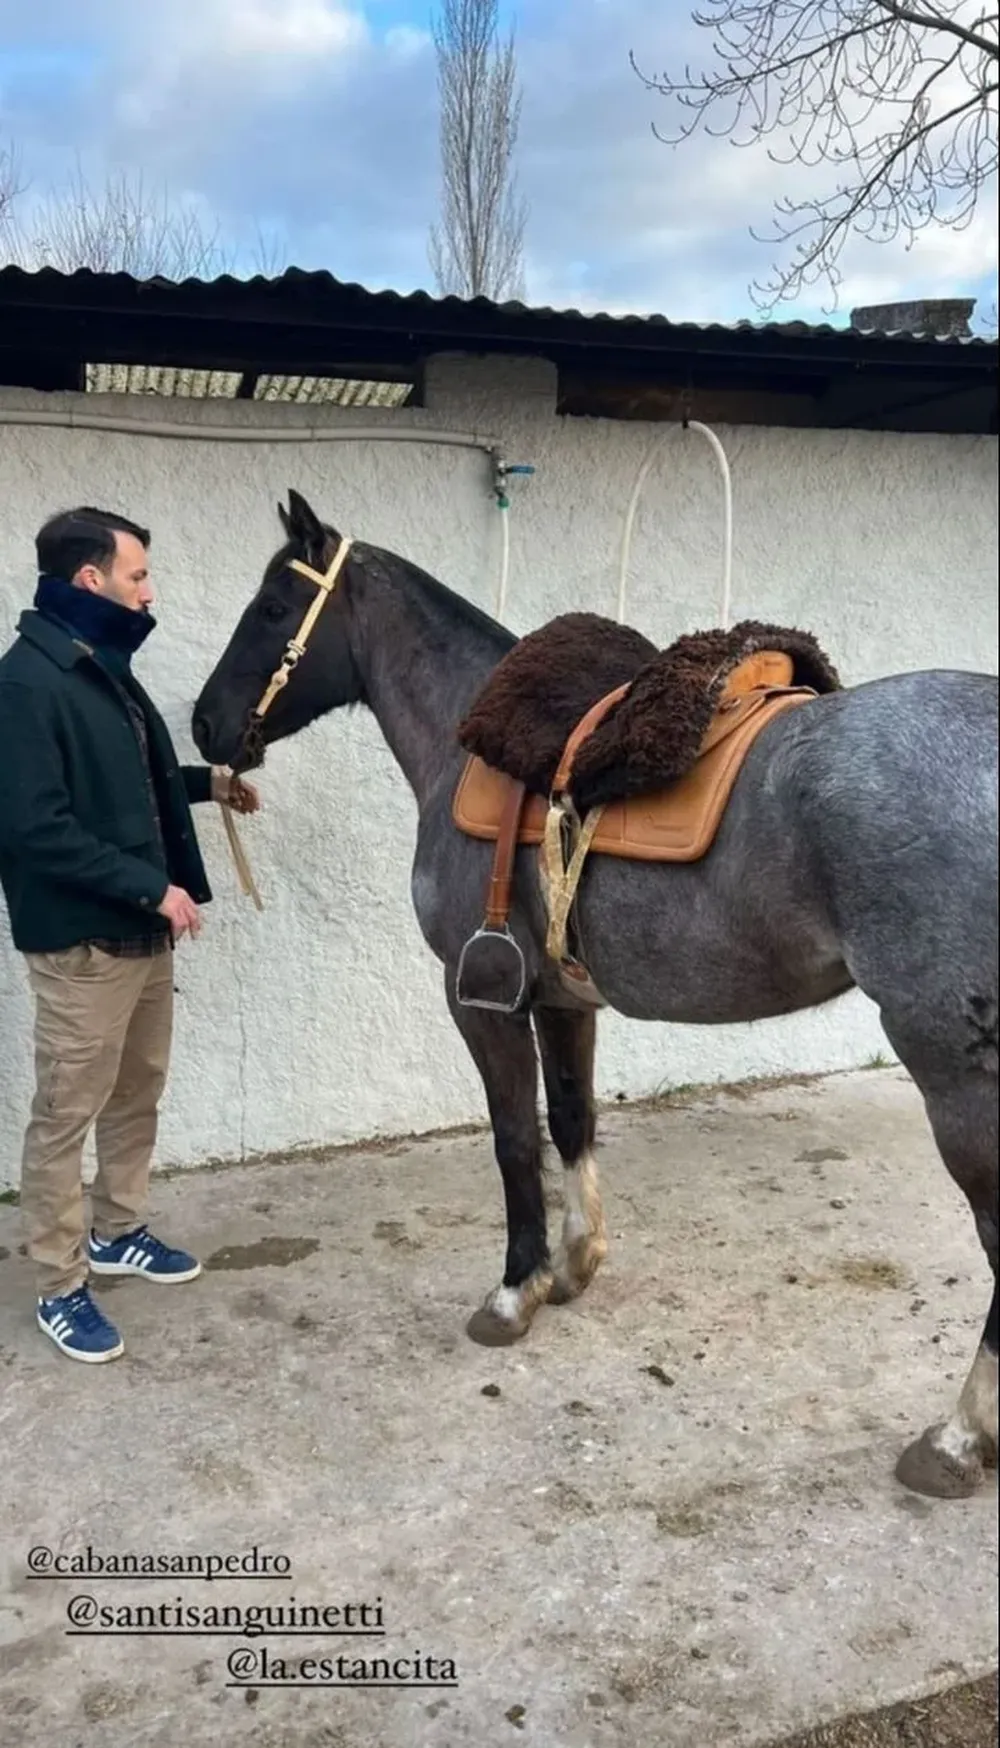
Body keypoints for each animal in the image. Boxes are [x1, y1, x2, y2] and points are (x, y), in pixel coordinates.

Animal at [192, 489, 998, 1502]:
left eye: (270, 608)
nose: (205, 728)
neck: (467, 740)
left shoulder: (477, 999)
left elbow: (512, 1138)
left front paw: (514, 1292)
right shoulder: (563, 1002)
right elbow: (572, 1119)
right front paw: (574, 1267)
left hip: (953, 1070)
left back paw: (956, 1440)